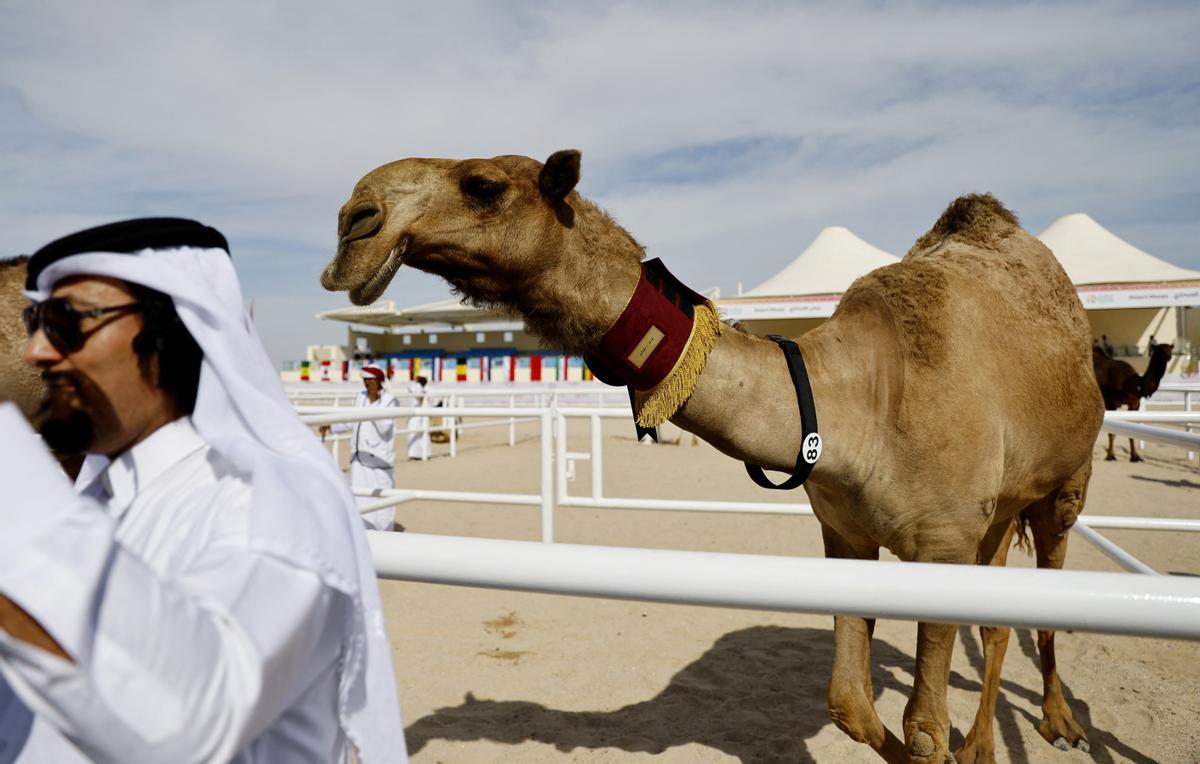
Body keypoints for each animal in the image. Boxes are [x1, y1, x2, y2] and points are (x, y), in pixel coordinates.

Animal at [321, 150, 1104, 762]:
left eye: (483, 184)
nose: (355, 218)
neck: (859, 401)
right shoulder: (846, 531)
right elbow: (850, 703)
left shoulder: (941, 541)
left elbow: (921, 730)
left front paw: (952, 742)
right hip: (997, 510)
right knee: (997, 619)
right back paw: (986, 746)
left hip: (1065, 482)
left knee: (1046, 587)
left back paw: (1060, 722)